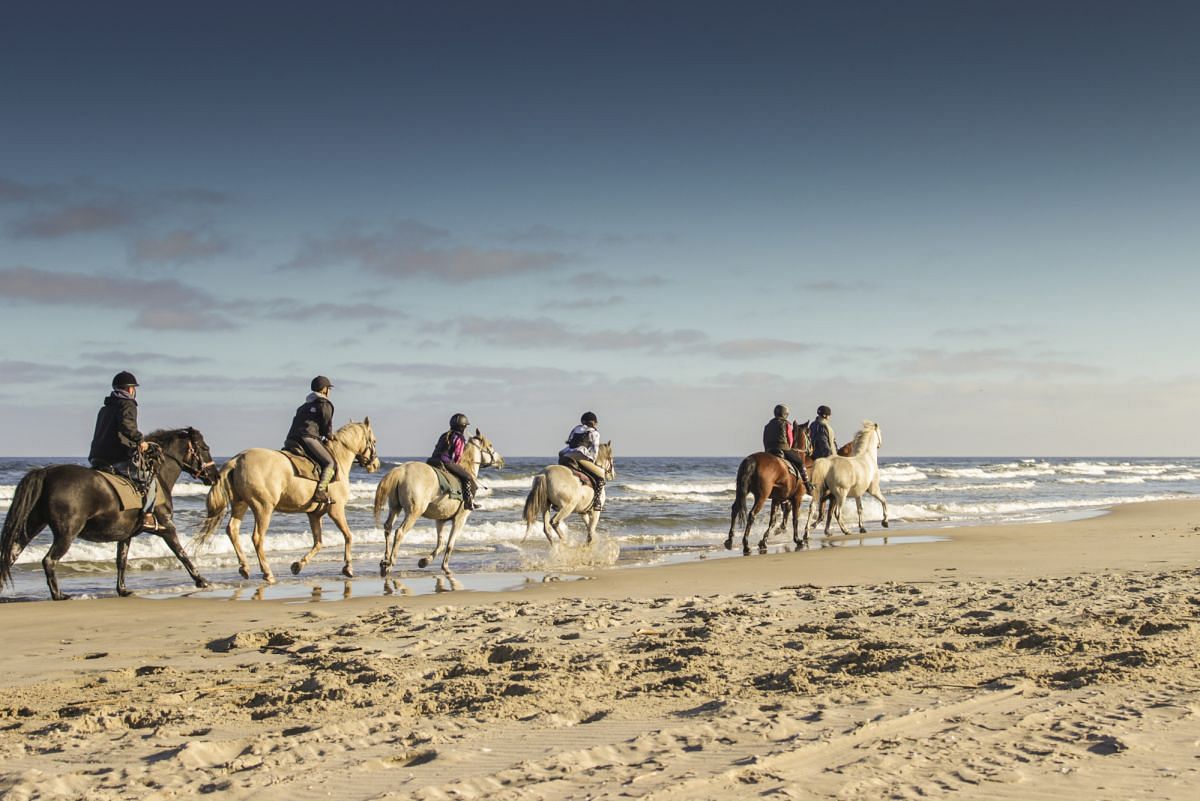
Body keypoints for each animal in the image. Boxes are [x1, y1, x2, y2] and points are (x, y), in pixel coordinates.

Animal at [0, 429, 218, 597]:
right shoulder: (166, 527)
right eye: (205, 448)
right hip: (67, 532)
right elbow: (181, 553)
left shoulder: (126, 534)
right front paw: (202, 580)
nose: (215, 476)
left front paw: (122, 590)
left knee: (11, 553)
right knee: (48, 560)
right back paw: (59, 595)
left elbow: (121, 561)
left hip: (33, 524)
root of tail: (46, 472)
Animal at [194, 419, 379, 582]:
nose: (376, 464)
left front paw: (298, 565)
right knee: (257, 537)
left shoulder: (314, 515)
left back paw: (245, 567)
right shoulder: (336, 510)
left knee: (232, 530)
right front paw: (348, 567)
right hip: (263, 508)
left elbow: (318, 542)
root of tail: (237, 459)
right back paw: (267, 572)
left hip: (240, 504)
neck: (338, 459)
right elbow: (348, 536)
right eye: (374, 441)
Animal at [374, 431, 506, 575]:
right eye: (490, 445)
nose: (501, 461)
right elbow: (449, 544)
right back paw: (391, 563)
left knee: (388, 528)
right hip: (414, 512)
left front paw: (424, 561)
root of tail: (402, 471)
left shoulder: (440, 520)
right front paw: (445, 567)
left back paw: (385, 562)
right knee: (400, 532)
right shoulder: (460, 519)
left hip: (395, 508)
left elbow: (441, 544)